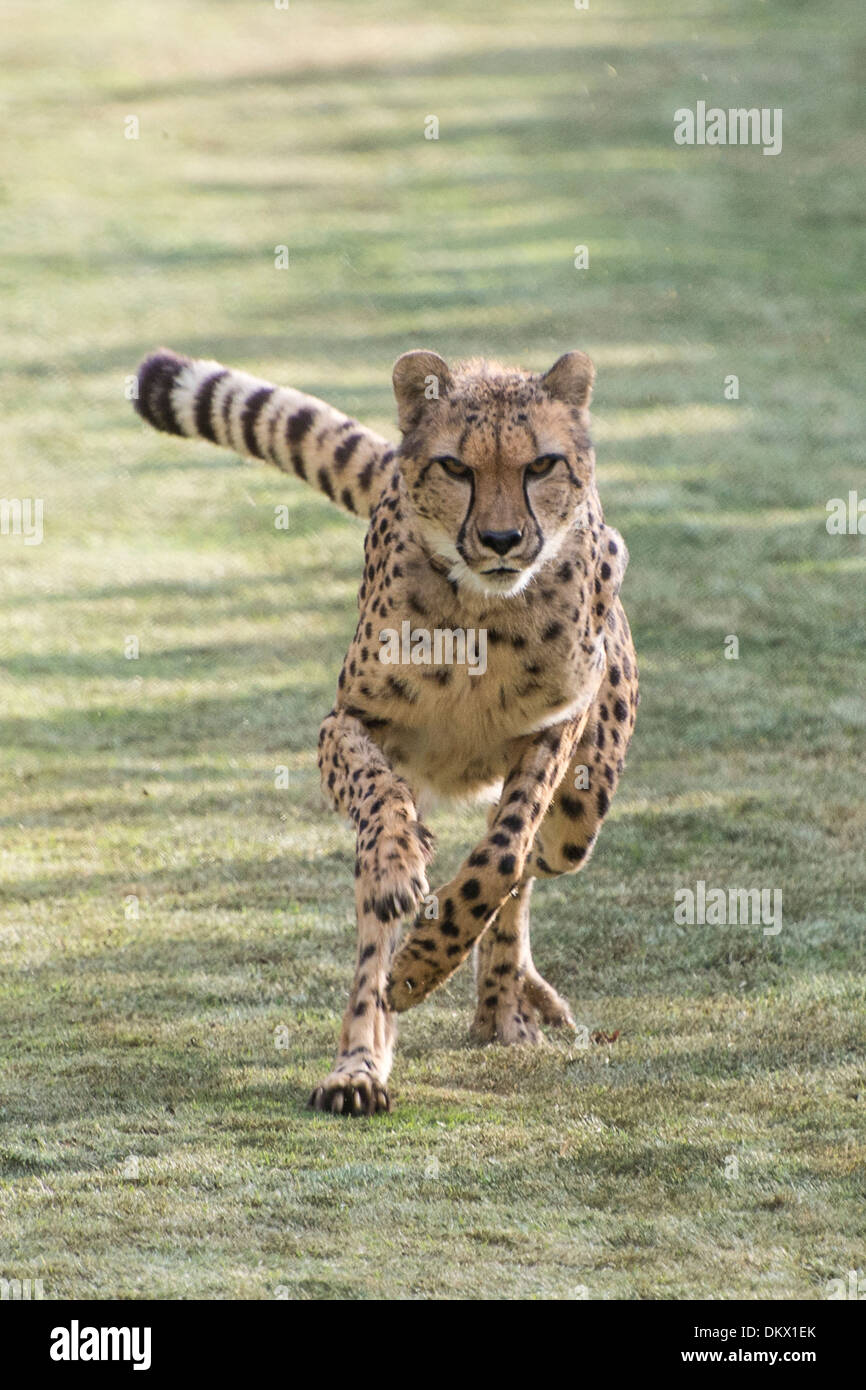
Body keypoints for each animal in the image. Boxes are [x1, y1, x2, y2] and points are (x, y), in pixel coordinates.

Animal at [134, 345, 639, 1116]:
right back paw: (362, 1062)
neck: (480, 616)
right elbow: (381, 804)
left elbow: (501, 857)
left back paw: (500, 1007)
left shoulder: (557, 727)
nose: (500, 540)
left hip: (579, 819)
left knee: (530, 864)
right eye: (456, 467)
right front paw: (404, 871)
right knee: (386, 917)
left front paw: (428, 960)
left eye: (541, 465)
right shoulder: (348, 722)